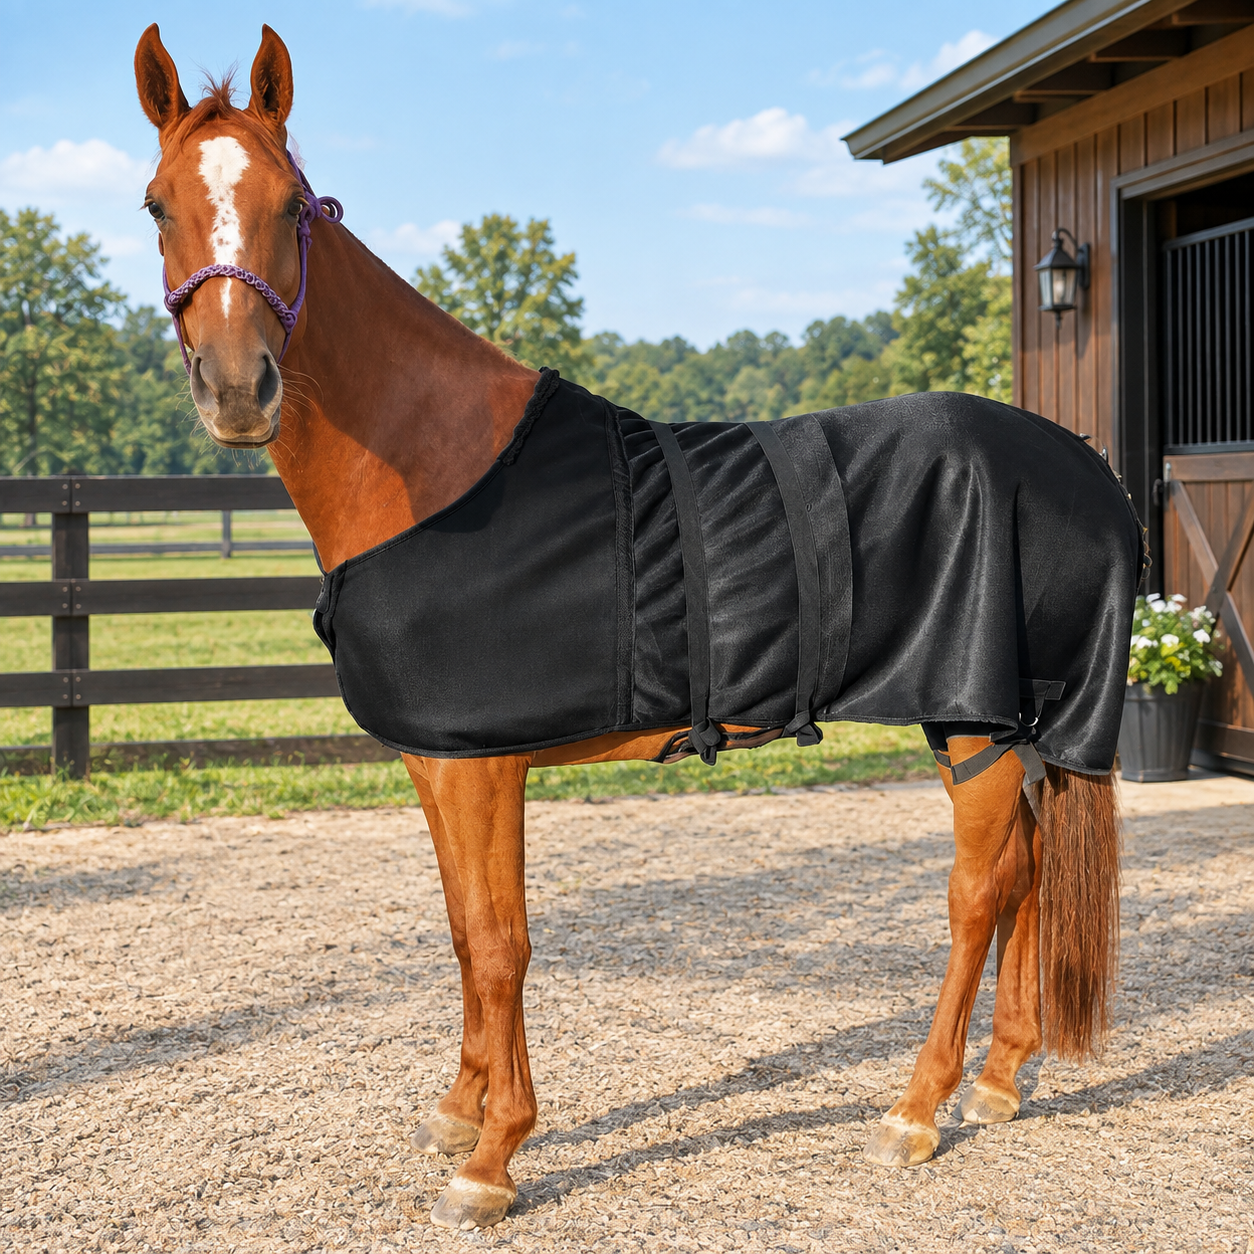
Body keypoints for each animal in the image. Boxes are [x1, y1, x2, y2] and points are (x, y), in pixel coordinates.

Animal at [133, 24, 1138, 1230]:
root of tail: (1080, 462)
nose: (239, 389)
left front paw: (494, 1158)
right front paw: (460, 1111)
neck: (437, 466)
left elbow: (500, 942)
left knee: (979, 892)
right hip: (1000, 724)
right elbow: (462, 934)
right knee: (1028, 870)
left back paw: (917, 1108)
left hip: (973, 719)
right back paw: (998, 1079)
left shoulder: (485, 766)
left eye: (289, 207)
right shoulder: (438, 760)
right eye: (157, 205)